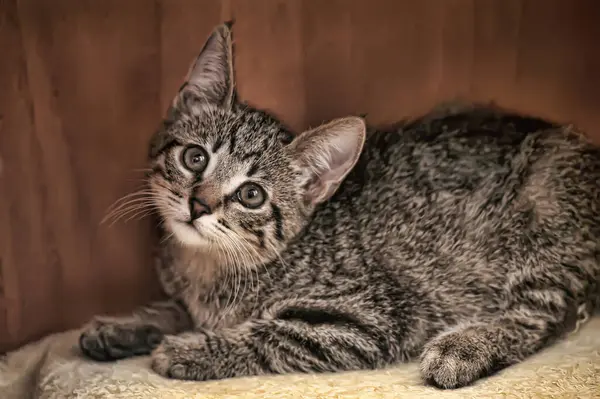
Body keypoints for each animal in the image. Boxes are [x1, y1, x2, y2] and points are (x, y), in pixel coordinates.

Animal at [79, 23, 600, 390]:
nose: (199, 204)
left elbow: (267, 334)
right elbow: (176, 309)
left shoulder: (370, 319)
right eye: (195, 158)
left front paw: (190, 350)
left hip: (546, 206)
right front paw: (126, 326)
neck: (208, 268)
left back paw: (464, 347)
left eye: (252, 195)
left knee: (541, 316)